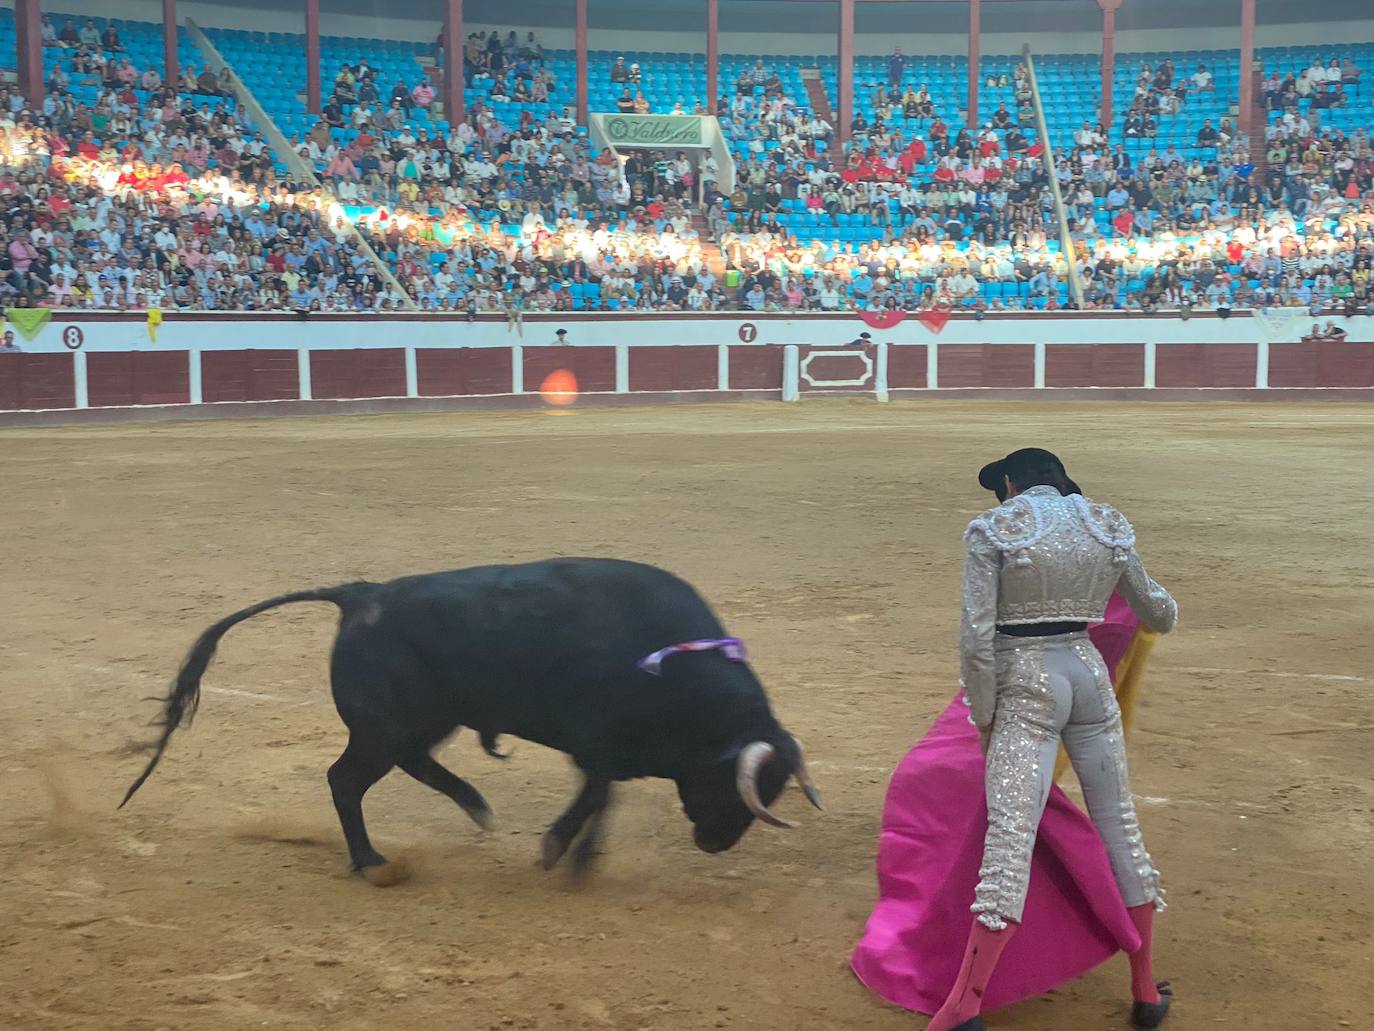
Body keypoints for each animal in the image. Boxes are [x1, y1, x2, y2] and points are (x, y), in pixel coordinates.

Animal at [120, 560, 813, 885]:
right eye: (733, 786)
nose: (715, 844)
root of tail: (361, 594)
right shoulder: (596, 742)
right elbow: (598, 794)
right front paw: (561, 853)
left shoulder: (608, 752)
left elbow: (601, 797)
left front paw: (574, 858)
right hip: (383, 728)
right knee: (346, 781)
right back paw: (372, 862)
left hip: (421, 723)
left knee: (408, 765)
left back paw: (475, 806)